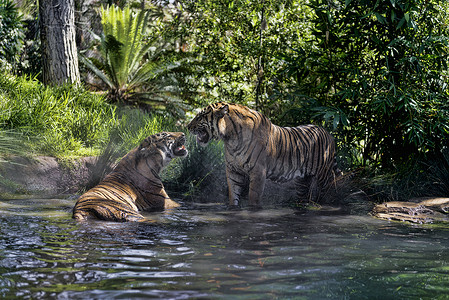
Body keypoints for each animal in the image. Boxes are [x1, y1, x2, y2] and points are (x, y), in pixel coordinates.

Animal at [186, 102, 340, 207]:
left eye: (200, 117)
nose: (187, 127)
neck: (230, 138)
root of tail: (328, 134)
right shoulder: (233, 171)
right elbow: (233, 196)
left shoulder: (258, 171)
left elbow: (253, 198)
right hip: (303, 180)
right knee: (304, 196)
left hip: (323, 175)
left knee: (328, 191)